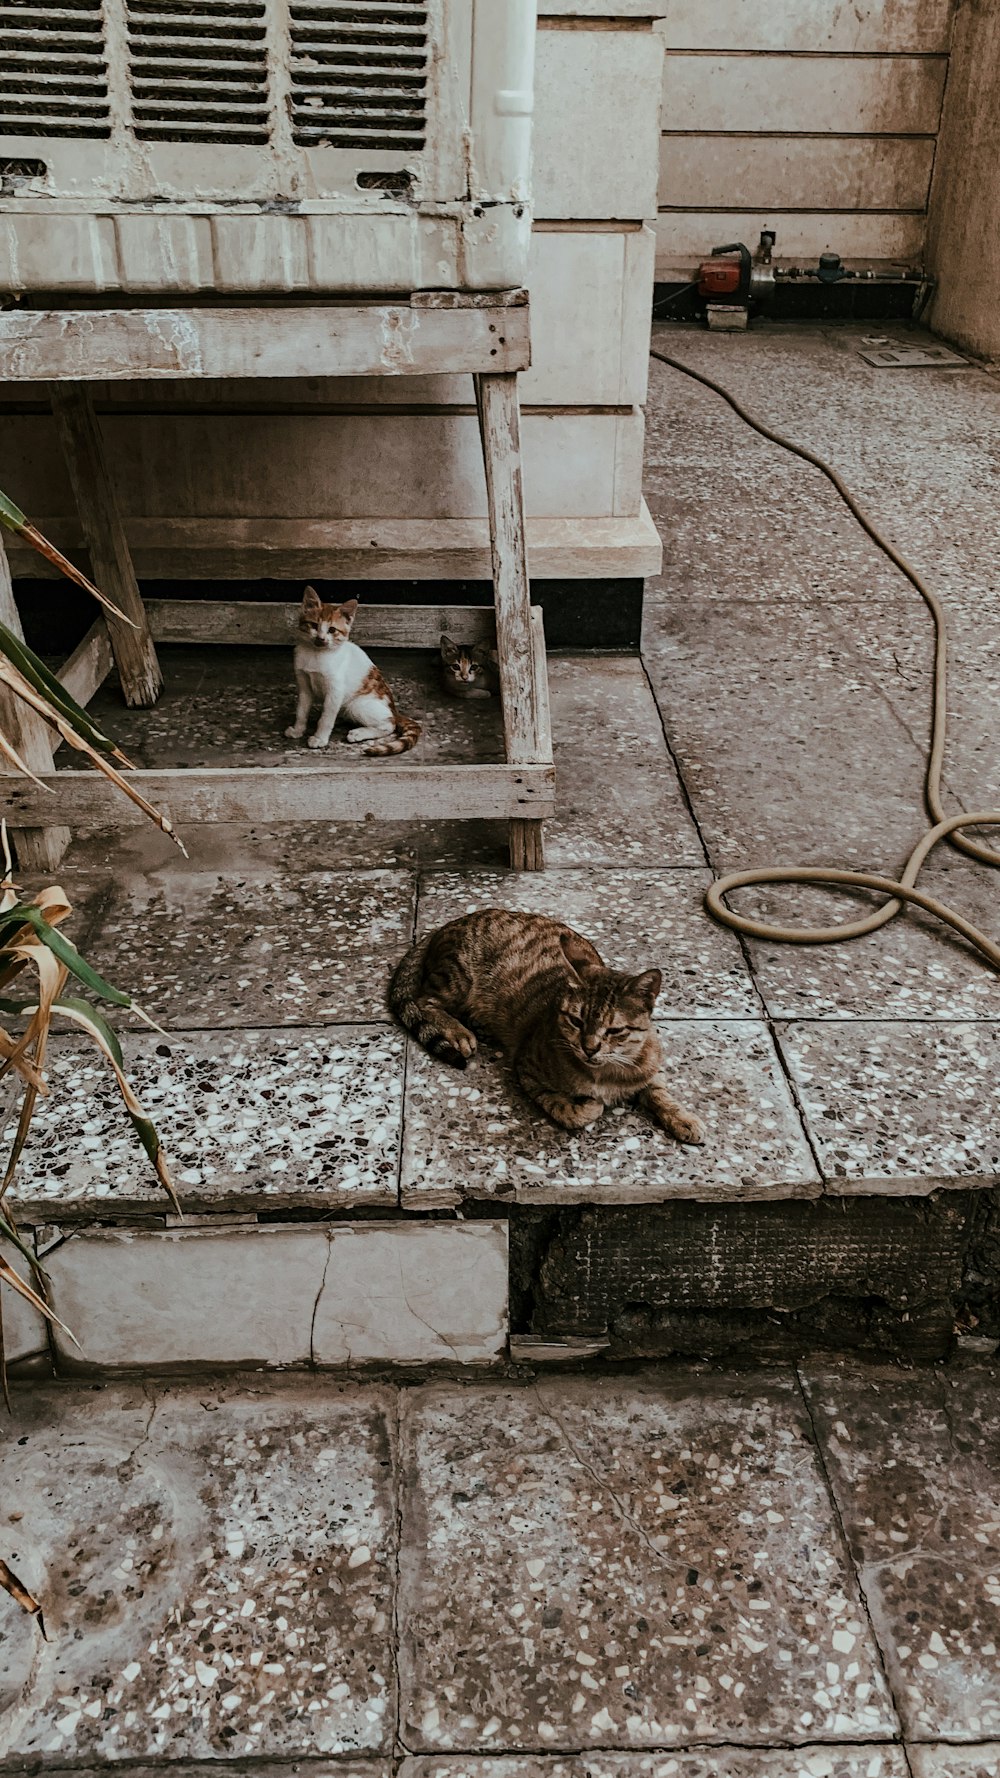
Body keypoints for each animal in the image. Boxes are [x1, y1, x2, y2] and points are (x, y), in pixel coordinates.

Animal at [284, 583, 419, 750]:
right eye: (314, 625)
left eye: (332, 630)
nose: (321, 639)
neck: (315, 653)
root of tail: (394, 710)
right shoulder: (304, 685)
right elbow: (301, 711)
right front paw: (297, 730)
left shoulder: (335, 691)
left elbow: (326, 717)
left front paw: (320, 738)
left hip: (356, 705)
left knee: (389, 724)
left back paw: (359, 733)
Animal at [386, 910, 704, 1145]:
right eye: (576, 1020)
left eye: (614, 1030)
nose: (589, 1048)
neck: (606, 1073)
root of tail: (449, 923)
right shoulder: (527, 1072)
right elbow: (570, 1110)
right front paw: (589, 1105)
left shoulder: (649, 1069)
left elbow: (660, 1092)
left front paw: (683, 1118)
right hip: (457, 976)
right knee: (424, 1001)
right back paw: (459, 1031)